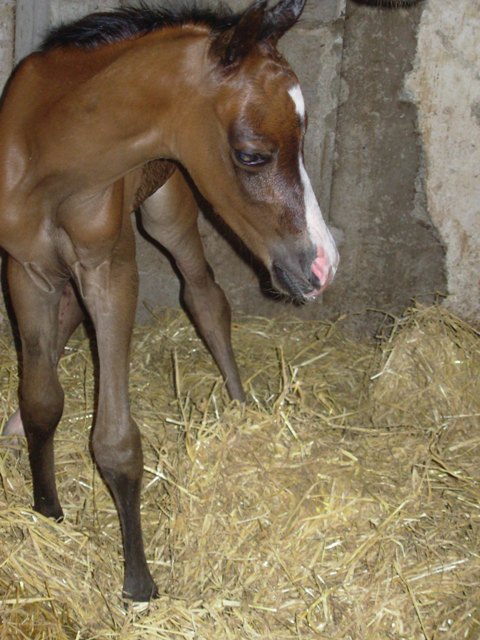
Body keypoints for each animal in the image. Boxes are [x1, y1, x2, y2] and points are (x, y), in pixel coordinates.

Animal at [0, 0, 338, 600]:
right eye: (252, 155)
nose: (322, 267)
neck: (50, 154)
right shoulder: (26, 270)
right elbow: (42, 401)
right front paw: (46, 509)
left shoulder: (112, 271)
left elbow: (115, 443)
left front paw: (138, 581)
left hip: (168, 208)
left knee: (206, 297)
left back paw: (240, 406)